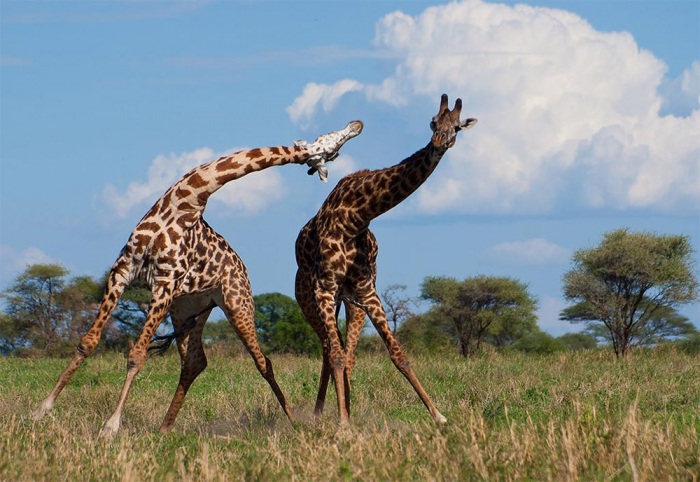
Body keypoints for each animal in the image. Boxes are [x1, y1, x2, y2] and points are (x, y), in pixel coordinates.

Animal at [32, 120, 363, 437]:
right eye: (332, 143)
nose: (356, 125)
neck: (187, 198)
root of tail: (242, 268)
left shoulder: (164, 283)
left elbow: (137, 355)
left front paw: (111, 426)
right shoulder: (123, 270)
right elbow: (88, 342)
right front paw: (42, 409)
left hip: (236, 305)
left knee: (262, 361)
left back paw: (293, 420)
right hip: (188, 308)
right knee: (194, 362)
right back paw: (165, 427)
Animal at [295, 94, 477, 425]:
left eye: (457, 126)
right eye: (433, 121)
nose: (440, 141)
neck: (357, 215)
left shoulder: (366, 290)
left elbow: (399, 355)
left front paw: (438, 415)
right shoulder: (324, 286)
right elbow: (335, 355)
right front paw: (342, 424)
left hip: (350, 304)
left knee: (346, 353)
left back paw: (343, 408)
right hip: (308, 297)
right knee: (329, 350)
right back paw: (321, 413)